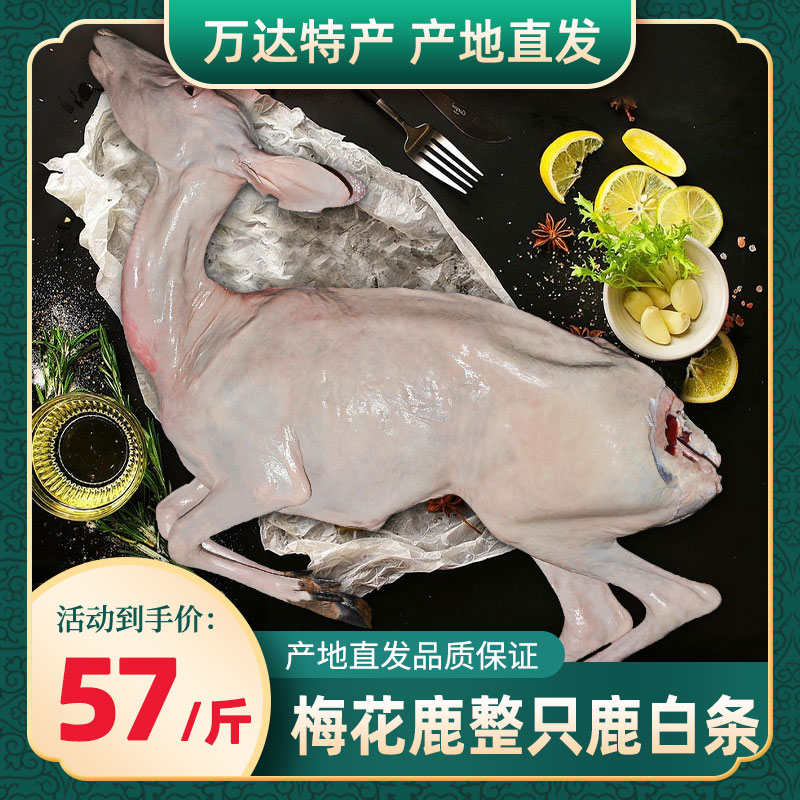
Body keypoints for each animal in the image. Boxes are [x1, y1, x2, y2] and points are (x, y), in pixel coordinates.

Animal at [88, 29, 722, 661]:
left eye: (189, 89)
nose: (102, 38)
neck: (196, 331)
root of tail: (669, 423)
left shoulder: (265, 477)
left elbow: (182, 539)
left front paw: (333, 598)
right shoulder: (215, 472)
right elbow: (167, 515)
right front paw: (324, 590)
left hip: (544, 523)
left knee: (684, 599)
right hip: (543, 522)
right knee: (597, 619)